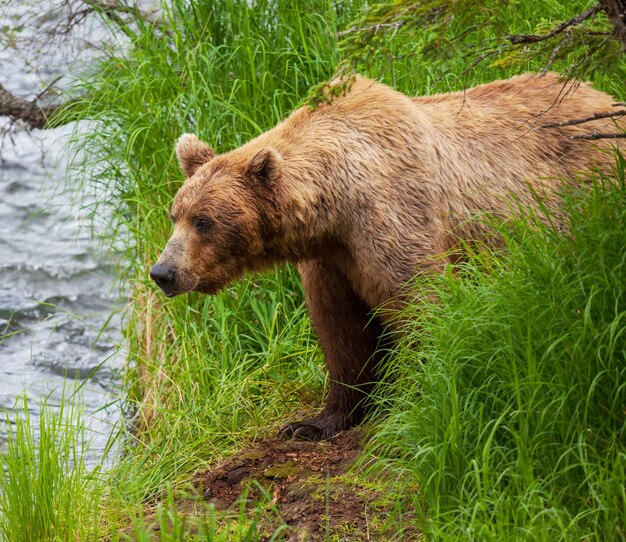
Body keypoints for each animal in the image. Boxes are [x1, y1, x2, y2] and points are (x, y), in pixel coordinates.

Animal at [151, 73, 624, 442]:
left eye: (204, 221)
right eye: (175, 214)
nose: (162, 272)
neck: (333, 208)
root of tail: (605, 97)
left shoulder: (391, 216)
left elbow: (418, 302)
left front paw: (418, 396)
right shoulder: (331, 261)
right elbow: (341, 331)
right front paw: (316, 421)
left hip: (586, 192)